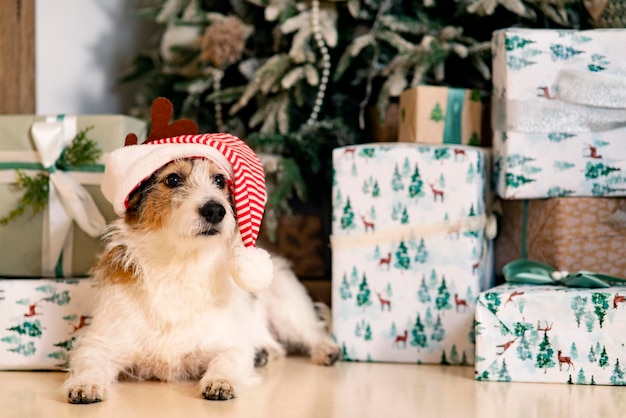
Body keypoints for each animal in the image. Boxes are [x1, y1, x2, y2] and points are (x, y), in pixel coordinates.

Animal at [62, 100, 342, 402]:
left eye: (219, 181)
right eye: (173, 180)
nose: (215, 210)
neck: (179, 265)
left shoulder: (231, 345)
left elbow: (227, 359)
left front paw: (220, 381)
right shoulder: (100, 342)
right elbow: (90, 361)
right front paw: (86, 384)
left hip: (287, 308)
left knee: (312, 332)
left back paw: (325, 350)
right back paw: (265, 353)